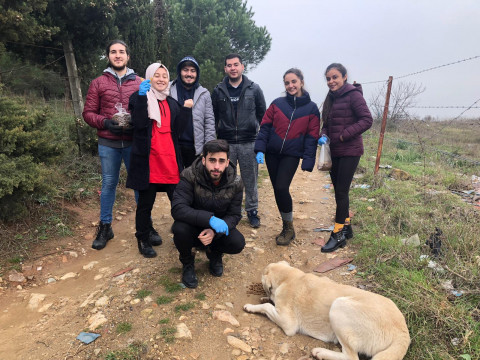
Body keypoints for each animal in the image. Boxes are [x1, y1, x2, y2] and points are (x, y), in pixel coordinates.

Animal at [246, 262, 410, 360]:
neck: (289, 277)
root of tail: (403, 333)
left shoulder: (288, 324)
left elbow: (267, 307)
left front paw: (251, 307)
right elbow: (268, 303)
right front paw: (265, 298)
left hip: (338, 306)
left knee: (351, 357)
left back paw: (320, 352)